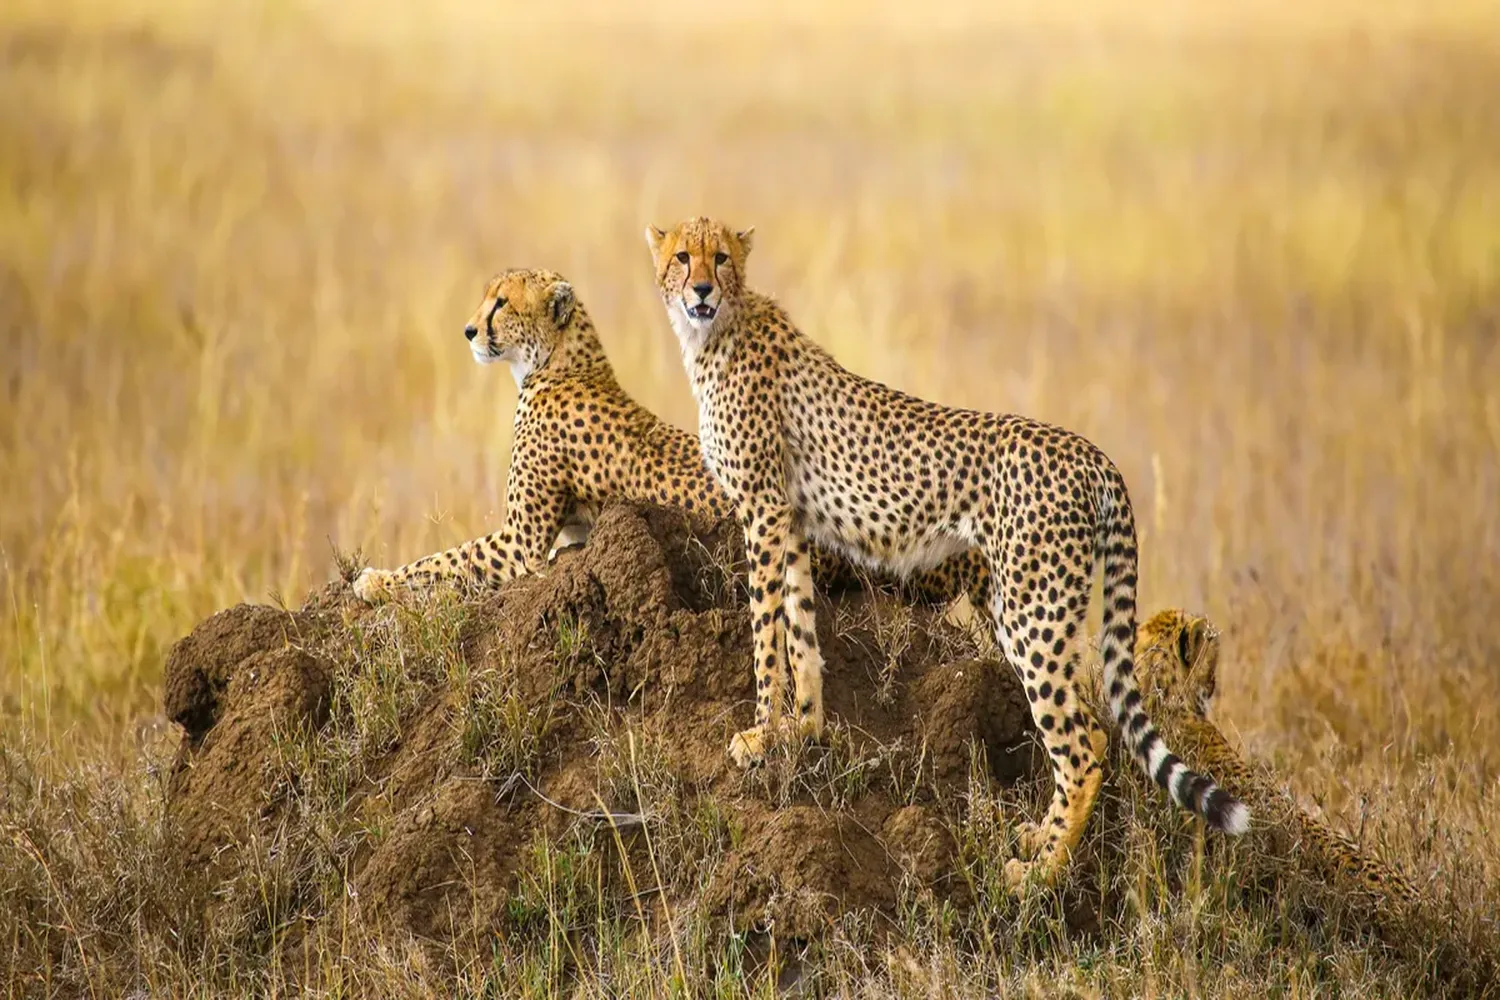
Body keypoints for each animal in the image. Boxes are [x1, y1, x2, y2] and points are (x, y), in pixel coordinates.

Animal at [353, 267, 990, 612]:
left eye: (501, 302)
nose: (468, 330)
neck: (560, 362)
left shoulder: (520, 542)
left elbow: (442, 560)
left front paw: (375, 580)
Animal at [644, 217, 1248, 889]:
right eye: (682, 257)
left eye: (720, 258)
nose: (700, 289)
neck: (715, 332)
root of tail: (1092, 452)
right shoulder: (792, 520)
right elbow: (799, 631)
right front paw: (802, 731)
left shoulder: (764, 511)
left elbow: (765, 634)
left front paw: (760, 734)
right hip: (1028, 609)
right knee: (1088, 736)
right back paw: (1039, 840)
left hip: (1032, 613)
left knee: (1083, 745)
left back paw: (1039, 874)